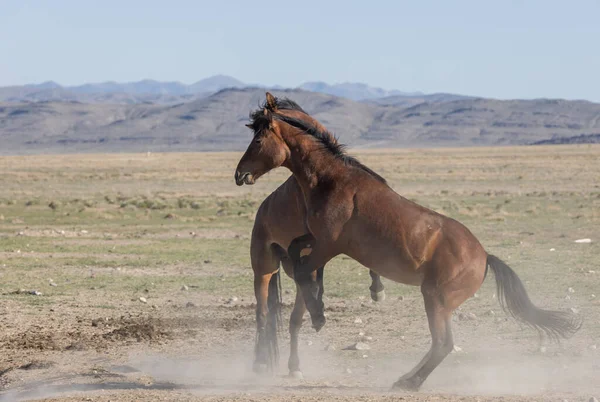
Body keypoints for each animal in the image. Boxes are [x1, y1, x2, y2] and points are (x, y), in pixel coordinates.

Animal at [250, 174, 384, 376]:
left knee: (294, 318)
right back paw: (260, 362)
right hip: (264, 269)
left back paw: (294, 366)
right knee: (263, 314)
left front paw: (377, 289)